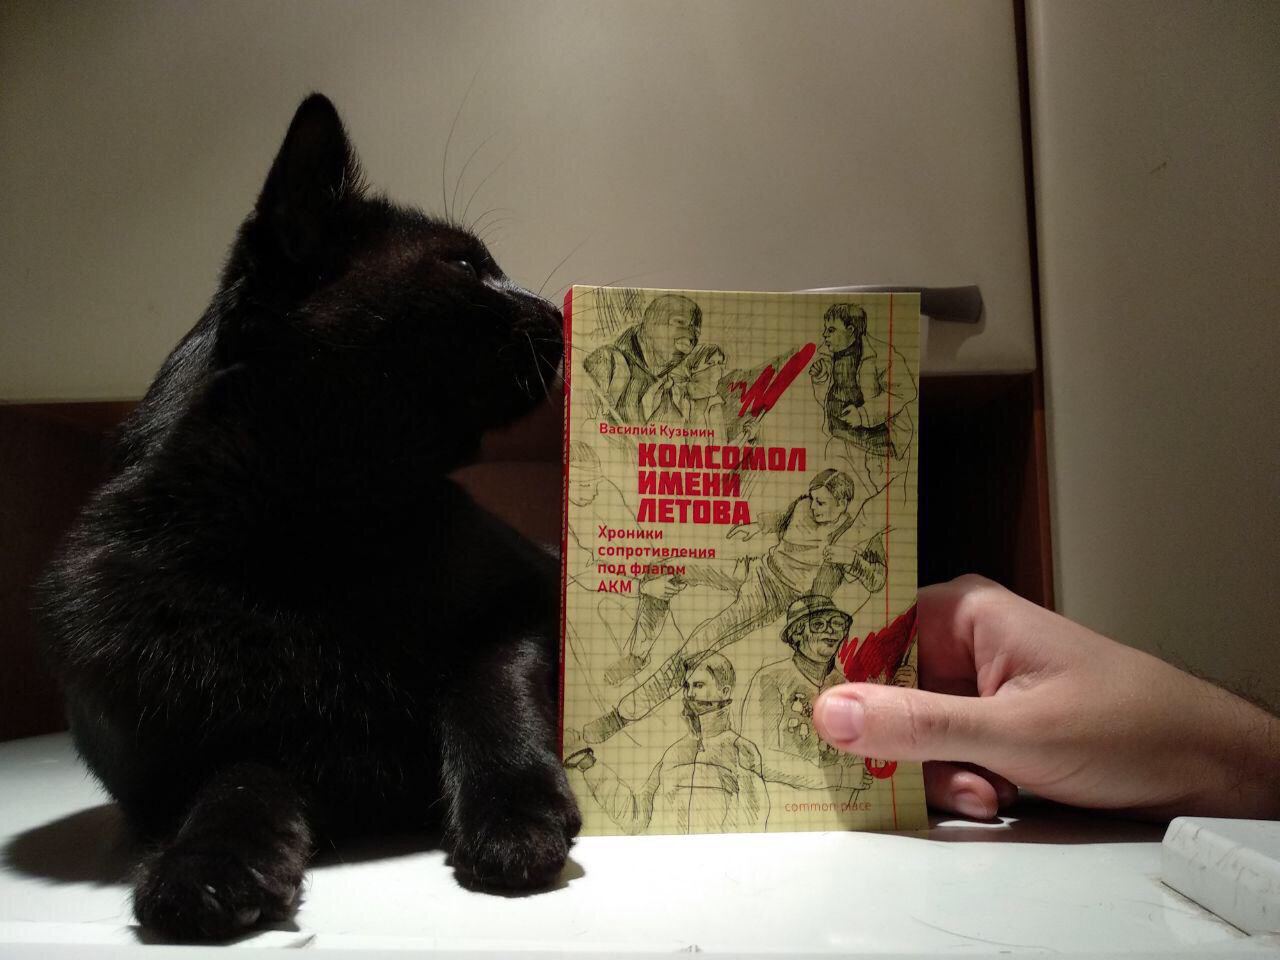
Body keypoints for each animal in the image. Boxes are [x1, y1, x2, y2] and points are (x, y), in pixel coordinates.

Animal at [36, 93, 580, 941]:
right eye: (466, 267)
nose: (554, 308)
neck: (320, 534)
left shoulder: (531, 596)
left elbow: (487, 682)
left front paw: (514, 811)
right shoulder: (205, 742)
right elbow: (237, 779)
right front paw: (210, 864)